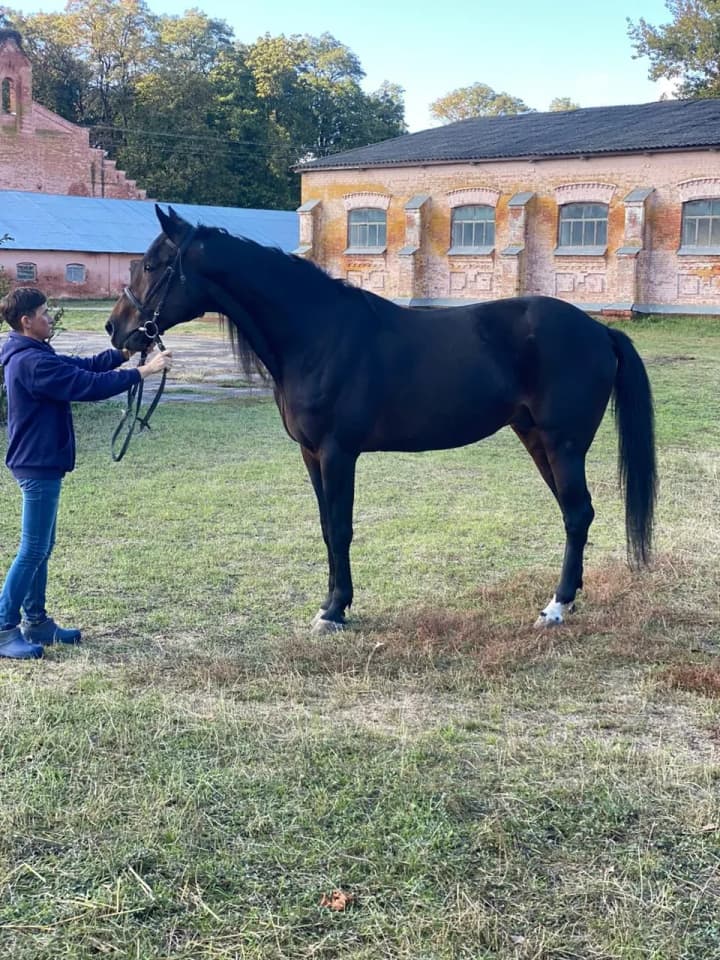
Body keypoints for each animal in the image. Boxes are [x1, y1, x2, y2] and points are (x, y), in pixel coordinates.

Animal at [105, 205, 657, 633]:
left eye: (152, 265)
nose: (116, 329)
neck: (317, 334)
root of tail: (599, 331)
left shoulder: (337, 452)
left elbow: (341, 528)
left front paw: (334, 611)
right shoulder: (310, 454)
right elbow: (326, 527)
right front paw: (331, 603)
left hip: (563, 443)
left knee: (577, 513)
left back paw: (556, 607)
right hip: (535, 439)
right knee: (574, 515)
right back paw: (569, 598)